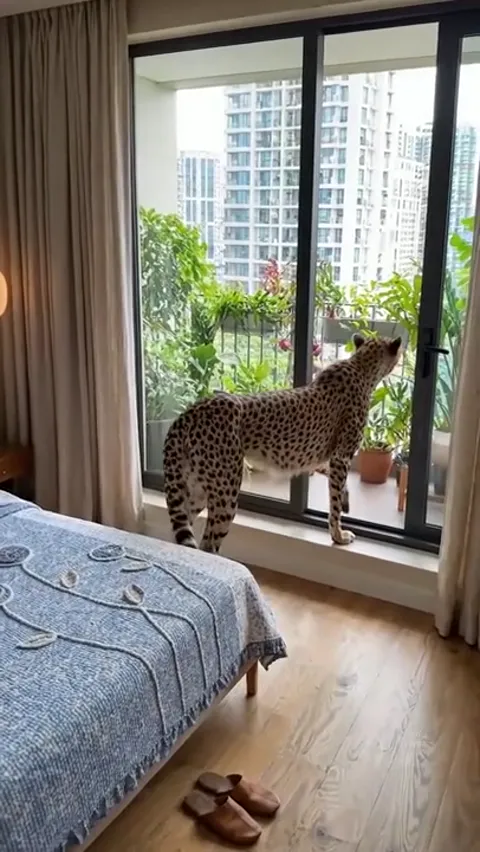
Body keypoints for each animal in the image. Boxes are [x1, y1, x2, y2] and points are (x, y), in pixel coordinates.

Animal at [163, 333, 402, 553]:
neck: (362, 366)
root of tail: (191, 410)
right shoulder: (340, 457)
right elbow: (333, 501)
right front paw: (338, 535)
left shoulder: (325, 458)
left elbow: (339, 487)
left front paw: (346, 501)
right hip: (224, 491)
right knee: (208, 545)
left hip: (196, 488)